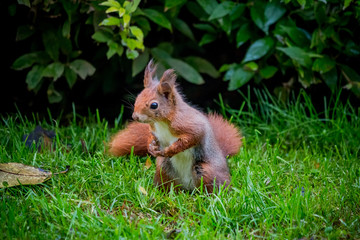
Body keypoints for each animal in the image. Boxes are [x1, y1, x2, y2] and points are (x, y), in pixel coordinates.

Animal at [107, 60, 242, 193]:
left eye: (154, 105)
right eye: (137, 99)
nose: (135, 116)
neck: (162, 122)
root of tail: (188, 187)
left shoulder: (190, 126)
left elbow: (190, 138)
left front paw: (170, 150)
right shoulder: (154, 130)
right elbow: (151, 137)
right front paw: (151, 147)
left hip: (206, 172)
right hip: (164, 169)